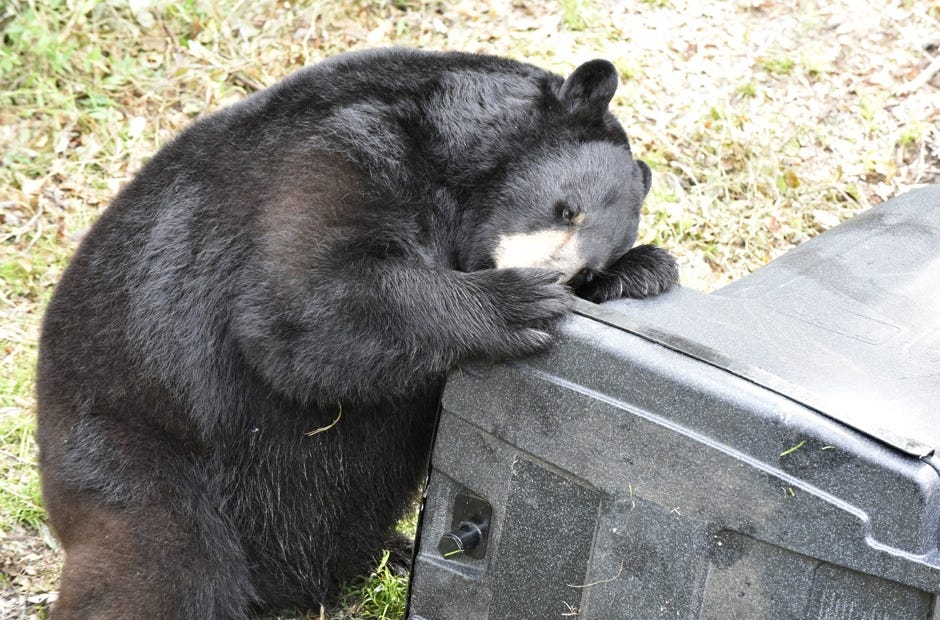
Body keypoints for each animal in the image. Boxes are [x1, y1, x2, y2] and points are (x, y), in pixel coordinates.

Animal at [36, 48, 678, 618]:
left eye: (589, 269)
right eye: (565, 208)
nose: (556, 275)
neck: (451, 155)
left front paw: (646, 268)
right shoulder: (341, 150)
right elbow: (307, 302)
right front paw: (518, 304)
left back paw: (387, 558)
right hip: (137, 442)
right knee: (164, 565)